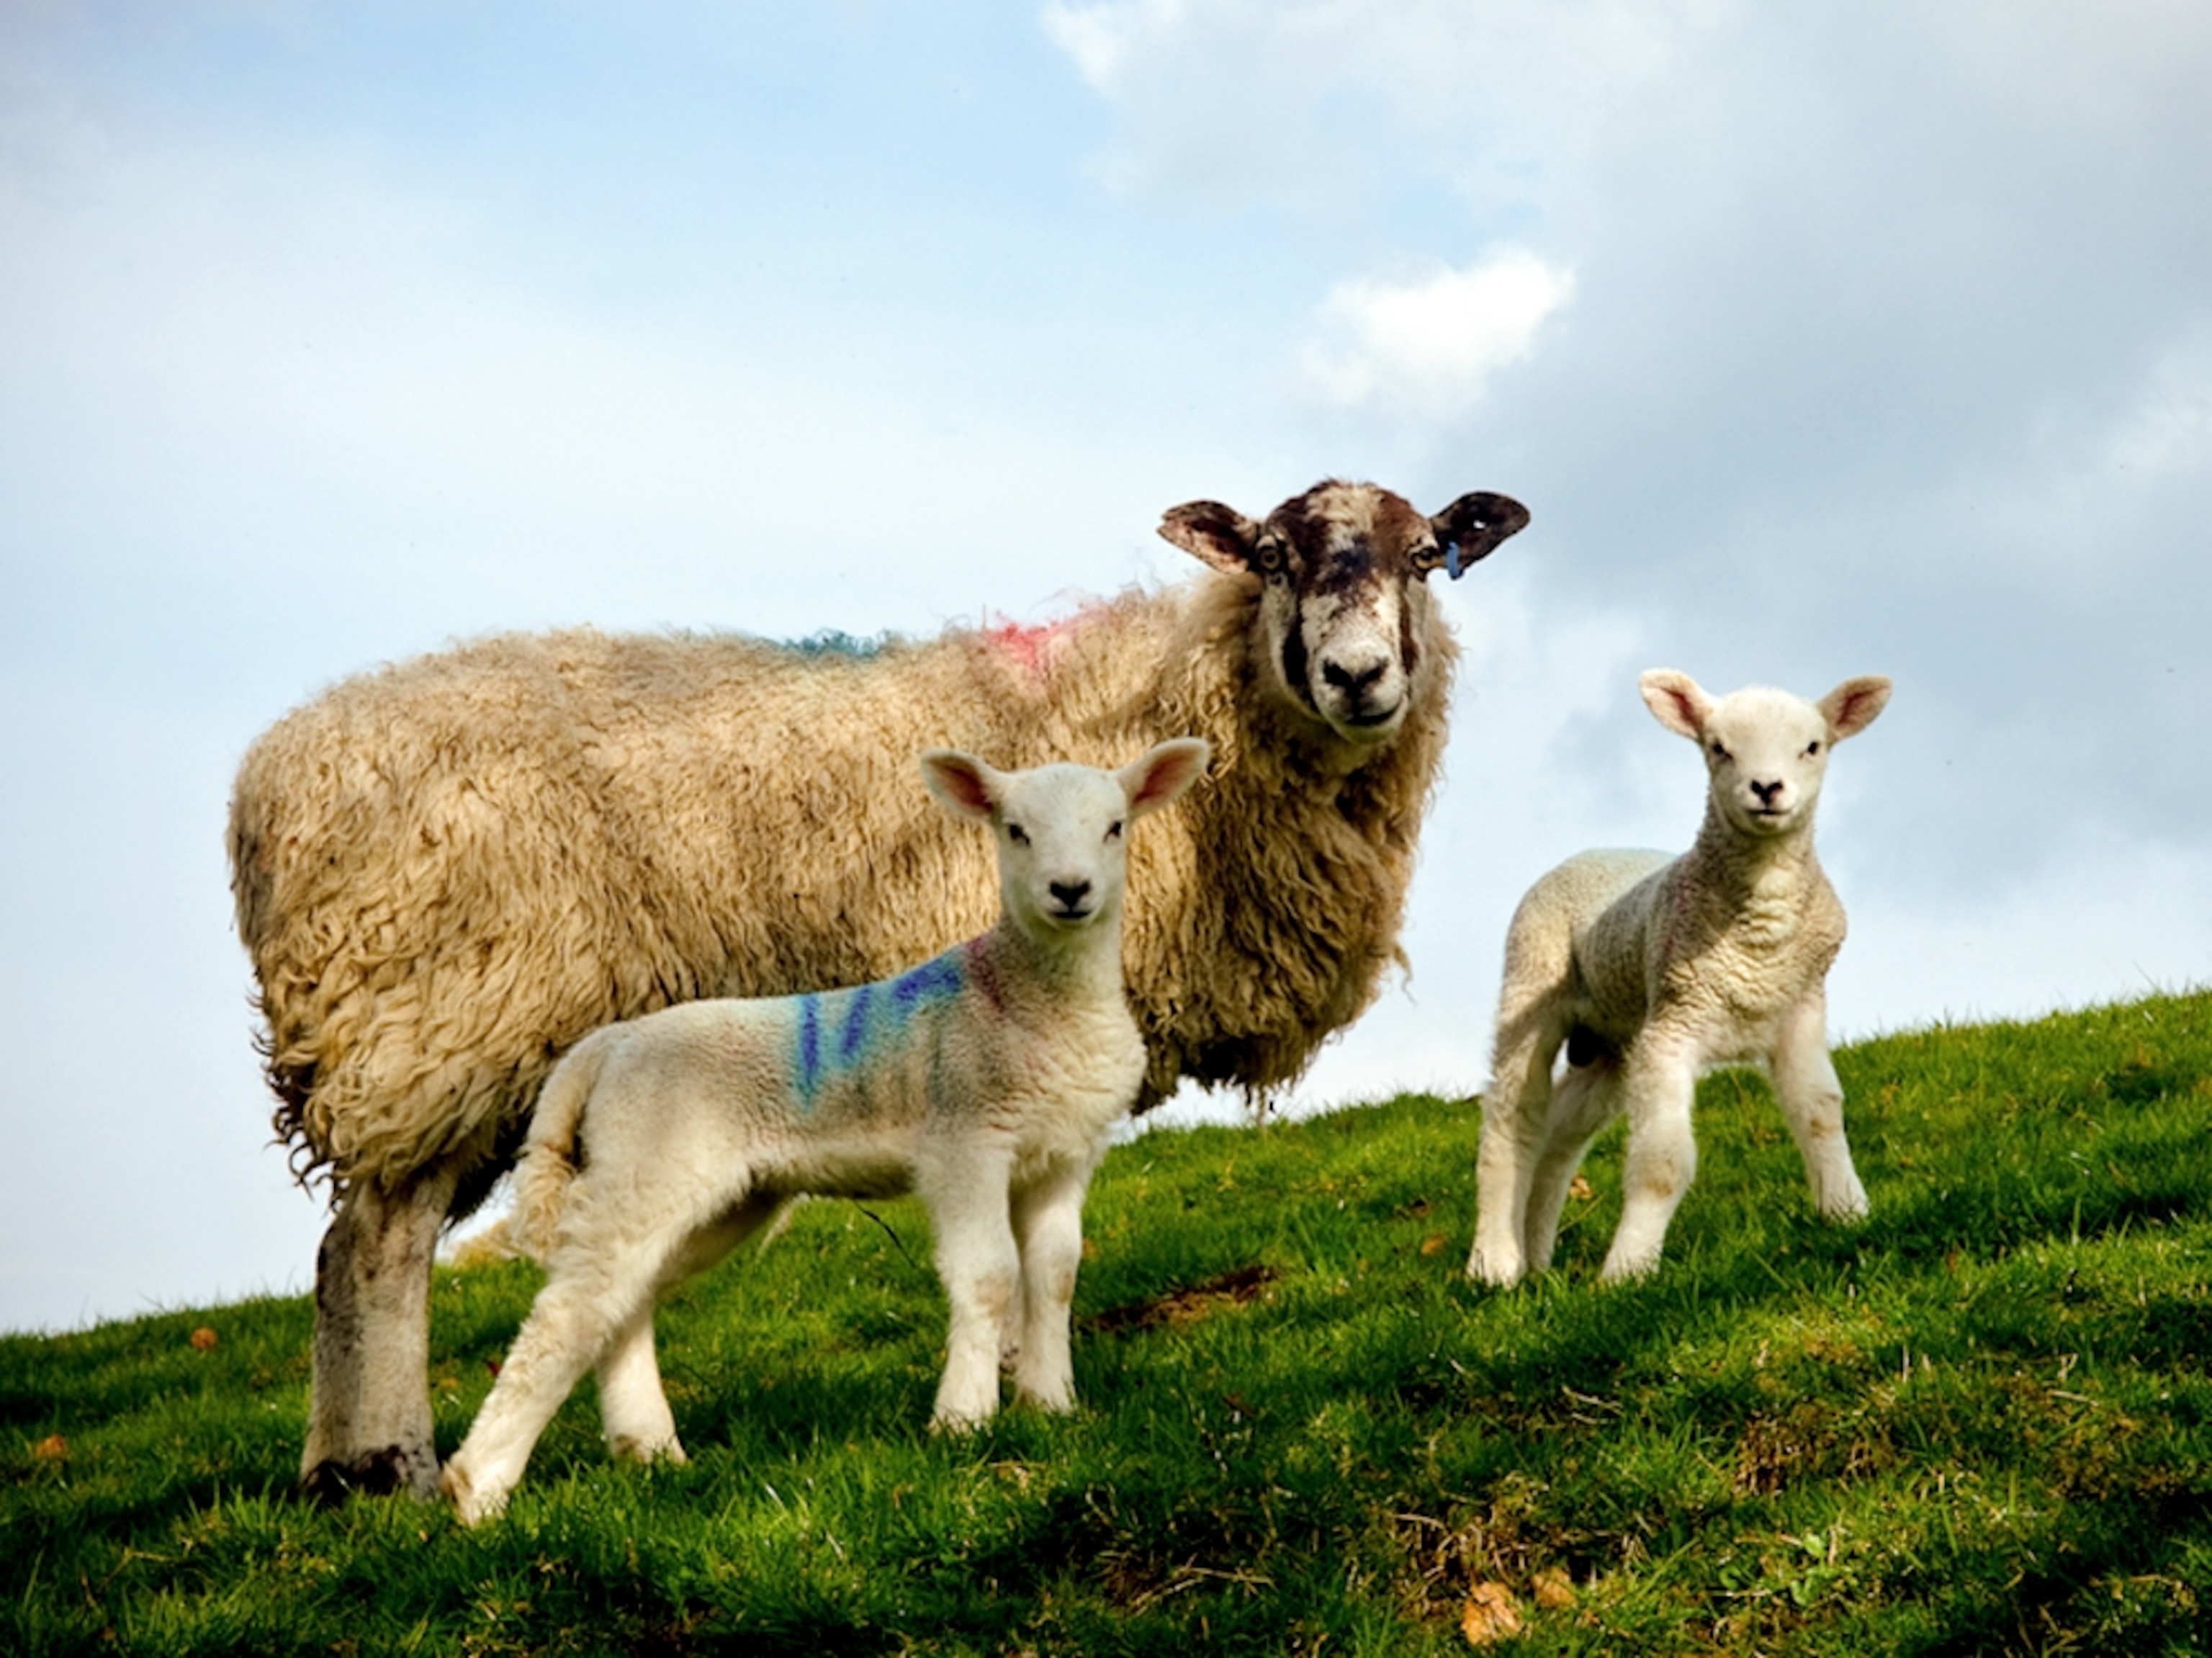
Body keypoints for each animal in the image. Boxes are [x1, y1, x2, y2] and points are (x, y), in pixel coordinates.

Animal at [437, 739, 1208, 1525]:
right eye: (1015, 831)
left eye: (1116, 826)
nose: (1071, 889)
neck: (1030, 996)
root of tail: (606, 1046)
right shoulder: (965, 1140)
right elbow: (990, 1276)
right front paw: (963, 1420)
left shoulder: (1064, 1151)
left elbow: (1055, 1274)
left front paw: (1050, 1405)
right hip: (646, 1158)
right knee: (568, 1308)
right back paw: (479, 1487)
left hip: (711, 1190)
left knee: (622, 1300)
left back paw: (648, 1449)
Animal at [1466, 668, 1892, 1286]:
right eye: (1719, 748)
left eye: (1813, 747)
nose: (1767, 788)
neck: (1758, 927)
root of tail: (1589, 851)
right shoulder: (1673, 1024)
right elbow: (1662, 1162)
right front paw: (1628, 1271)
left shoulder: (1799, 1007)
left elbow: (1820, 1114)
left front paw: (1847, 1212)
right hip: (1531, 978)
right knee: (1510, 1117)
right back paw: (1495, 1262)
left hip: (1613, 1042)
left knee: (1563, 1131)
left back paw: (1537, 1256)